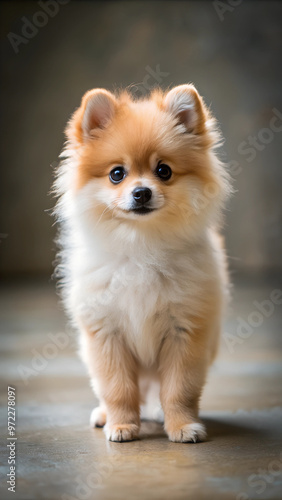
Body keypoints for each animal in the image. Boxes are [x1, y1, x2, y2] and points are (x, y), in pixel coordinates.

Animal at [54, 84, 230, 444]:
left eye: (164, 171)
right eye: (116, 174)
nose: (142, 192)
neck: (141, 246)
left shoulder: (185, 333)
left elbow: (179, 389)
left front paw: (182, 426)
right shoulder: (107, 335)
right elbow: (117, 388)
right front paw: (122, 425)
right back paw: (104, 415)